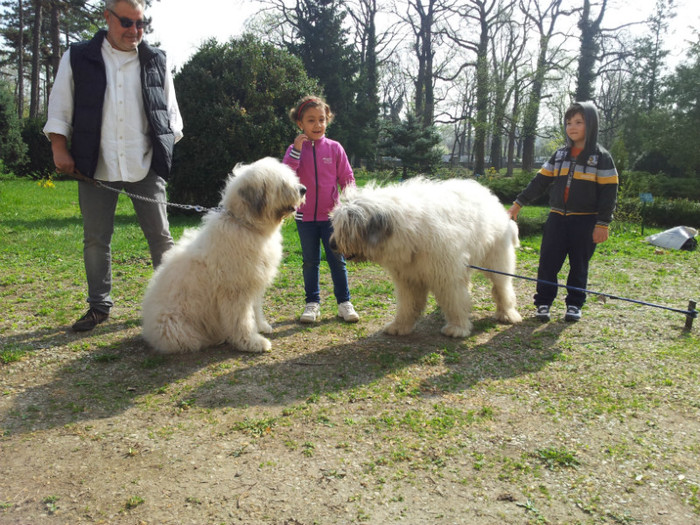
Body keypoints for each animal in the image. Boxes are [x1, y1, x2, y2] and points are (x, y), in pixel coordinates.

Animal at [141, 156, 304, 352]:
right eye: (282, 183)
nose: (303, 190)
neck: (245, 225)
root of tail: (149, 330)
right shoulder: (234, 290)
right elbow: (241, 319)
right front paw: (251, 342)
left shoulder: (253, 281)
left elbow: (255, 309)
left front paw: (261, 326)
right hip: (175, 326)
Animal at [330, 178, 524, 338]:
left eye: (347, 227)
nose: (331, 245)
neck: (408, 229)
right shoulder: (407, 278)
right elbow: (408, 304)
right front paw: (399, 326)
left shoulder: (446, 274)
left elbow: (455, 300)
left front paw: (457, 328)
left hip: (497, 260)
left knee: (502, 287)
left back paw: (507, 314)